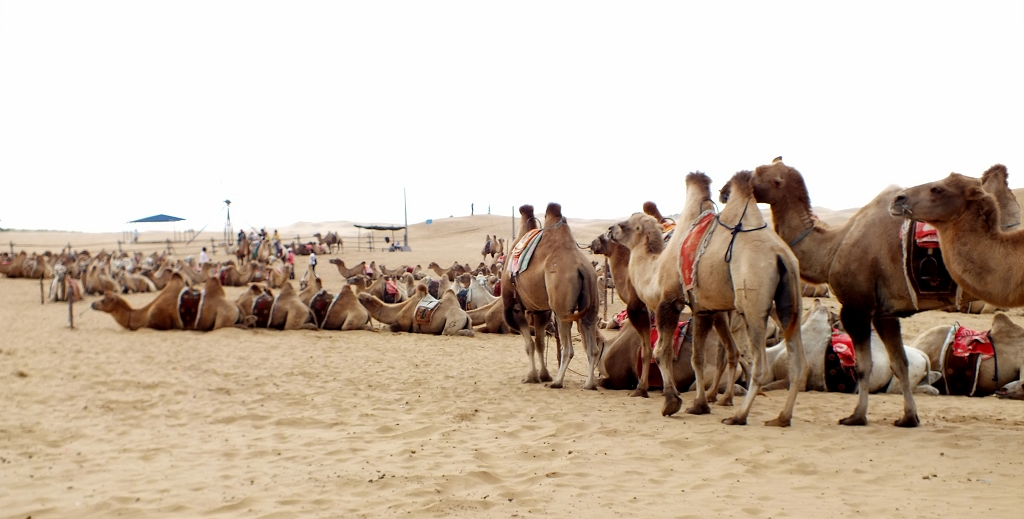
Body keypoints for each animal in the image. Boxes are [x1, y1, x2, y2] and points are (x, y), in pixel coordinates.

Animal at [501, 204, 602, 391]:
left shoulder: (515, 307)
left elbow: (529, 345)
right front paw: (543, 375)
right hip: (591, 301)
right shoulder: (541, 310)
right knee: (592, 344)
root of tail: (582, 267)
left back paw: (557, 382)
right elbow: (540, 343)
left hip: (562, 310)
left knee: (568, 348)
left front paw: (532, 376)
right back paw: (589, 384)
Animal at [610, 171, 802, 425]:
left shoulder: (669, 302)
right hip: (789, 303)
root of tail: (782, 255)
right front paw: (699, 405)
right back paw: (781, 417)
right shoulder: (703, 309)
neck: (655, 269)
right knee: (796, 359)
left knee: (757, 364)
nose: (610, 229)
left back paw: (739, 416)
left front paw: (671, 401)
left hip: (753, 304)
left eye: (625, 225)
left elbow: (662, 352)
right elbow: (697, 358)